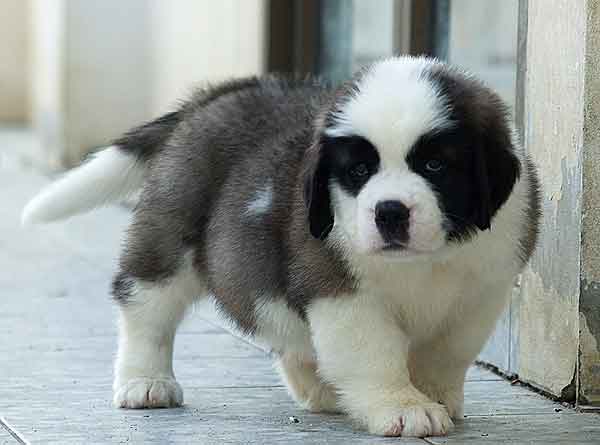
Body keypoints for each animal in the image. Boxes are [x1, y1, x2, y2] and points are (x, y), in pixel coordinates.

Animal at [22, 56, 540, 438]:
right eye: (358, 172)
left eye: (435, 165)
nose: (390, 212)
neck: (423, 262)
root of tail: (220, 93)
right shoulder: (339, 290)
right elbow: (374, 352)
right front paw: (402, 406)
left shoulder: (482, 291)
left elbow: (447, 352)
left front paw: (434, 394)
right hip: (171, 233)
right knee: (145, 306)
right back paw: (145, 381)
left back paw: (320, 388)